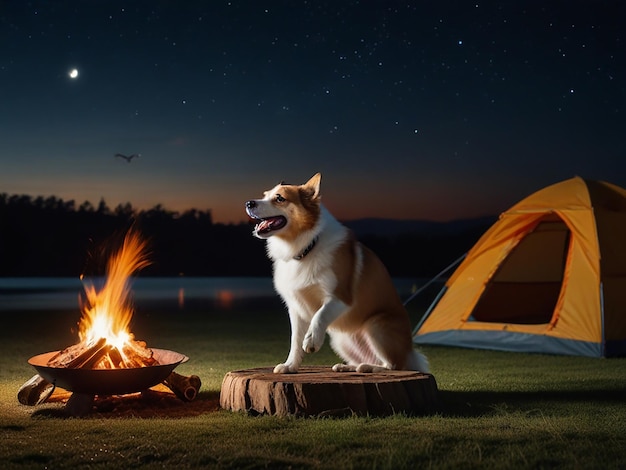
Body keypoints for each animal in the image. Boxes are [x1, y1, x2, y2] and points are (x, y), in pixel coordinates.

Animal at [245, 173, 428, 374]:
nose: (249, 203)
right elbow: (295, 341)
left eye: (279, 198)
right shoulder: (296, 308)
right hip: (341, 339)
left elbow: (320, 315)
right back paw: (347, 367)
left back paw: (367, 368)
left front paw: (312, 340)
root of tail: (410, 352)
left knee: (394, 365)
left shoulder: (340, 297)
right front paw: (290, 366)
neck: (307, 247)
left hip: (376, 326)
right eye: (265, 195)